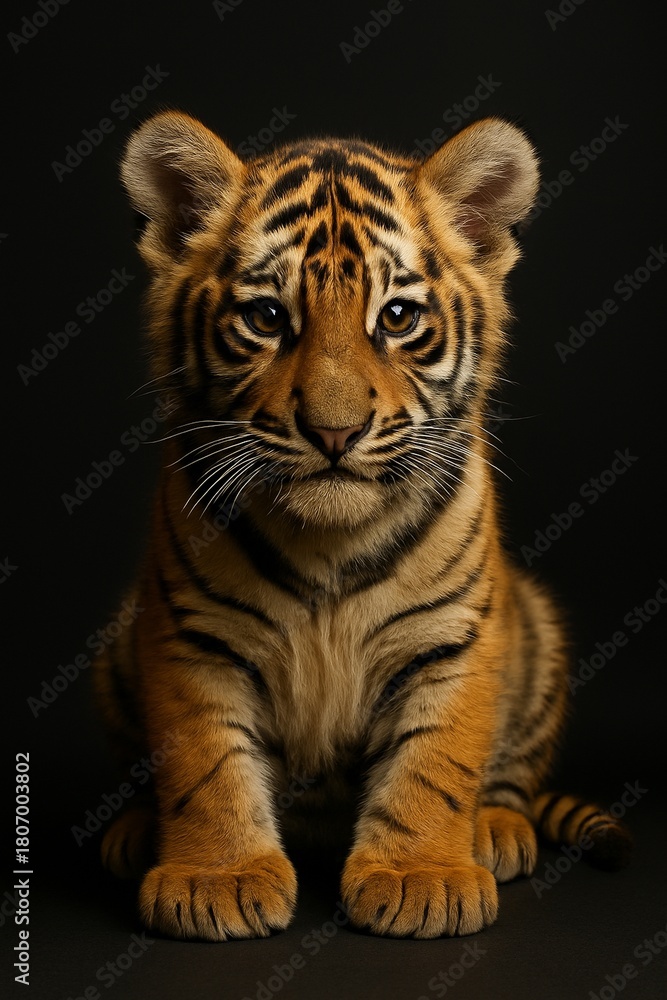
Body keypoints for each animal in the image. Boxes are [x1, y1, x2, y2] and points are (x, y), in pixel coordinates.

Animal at [94, 110, 632, 942]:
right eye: (267, 317)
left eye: (397, 318)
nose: (334, 431)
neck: (327, 543)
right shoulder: (191, 637)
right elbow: (205, 764)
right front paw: (216, 880)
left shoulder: (450, 637)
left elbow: (433, 765)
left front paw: (420, 880)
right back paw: (133, 834)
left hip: (534, 628)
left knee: (508, 776)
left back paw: (494, 830)